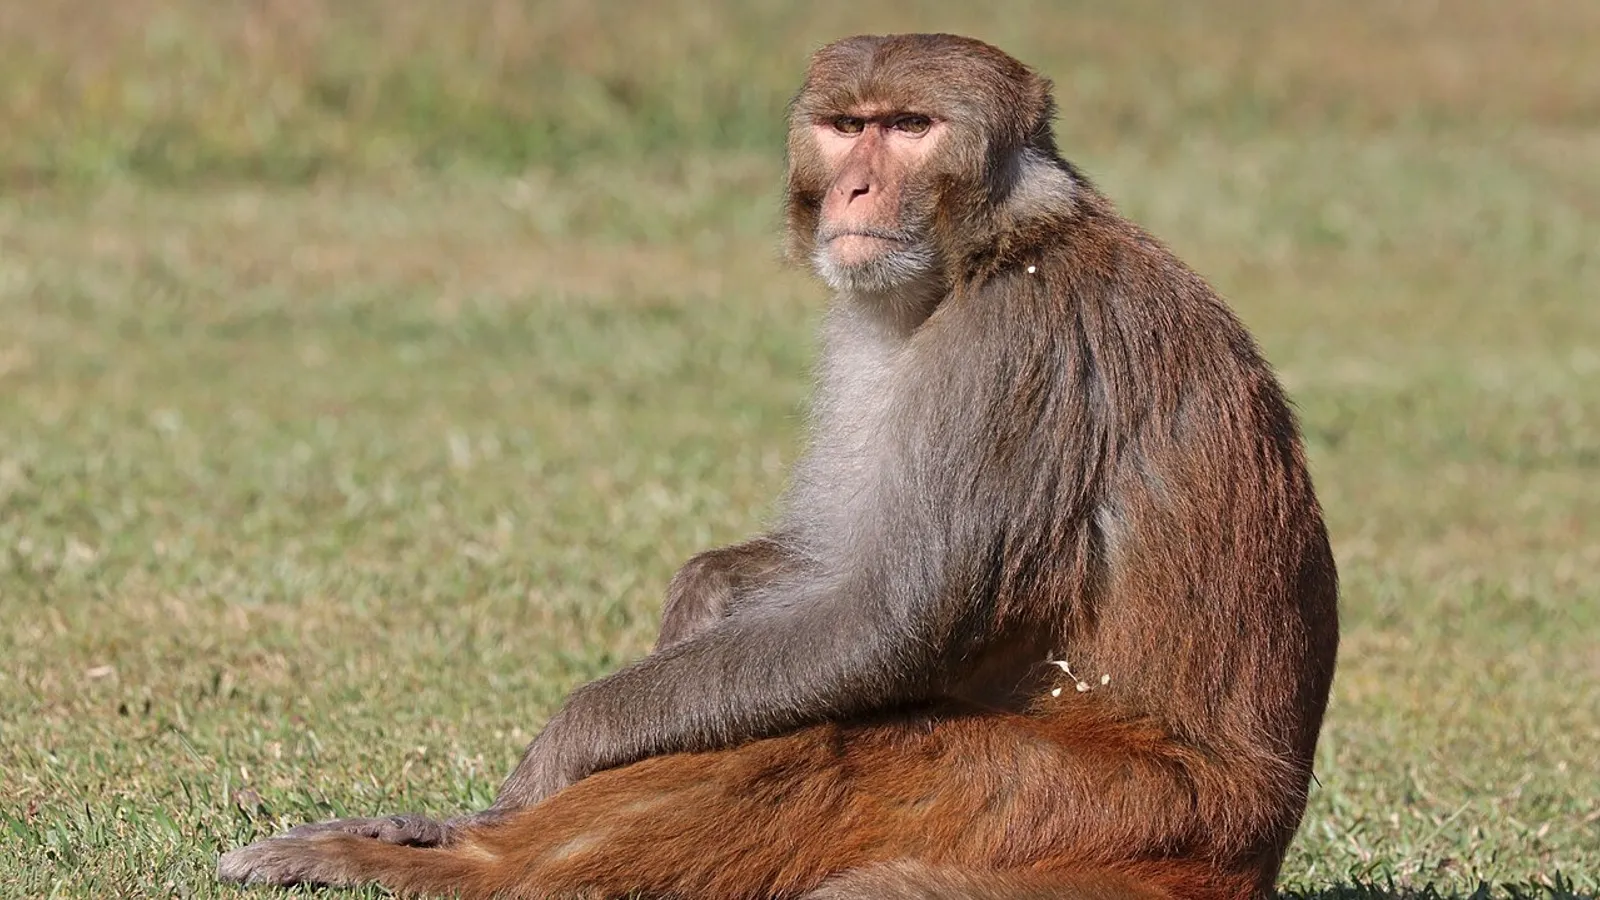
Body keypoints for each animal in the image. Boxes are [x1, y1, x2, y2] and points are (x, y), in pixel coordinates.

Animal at [217, 33, 1338, 900]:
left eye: (910, 127)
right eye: (846, 126)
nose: (854, 186)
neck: (980, 255)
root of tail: (1243, 855)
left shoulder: (1015, 347)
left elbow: (886, 619)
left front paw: (557, 755)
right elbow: (819, 573)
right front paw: (703, 593)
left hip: (1092, 808)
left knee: (831, 748)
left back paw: (466, 866)